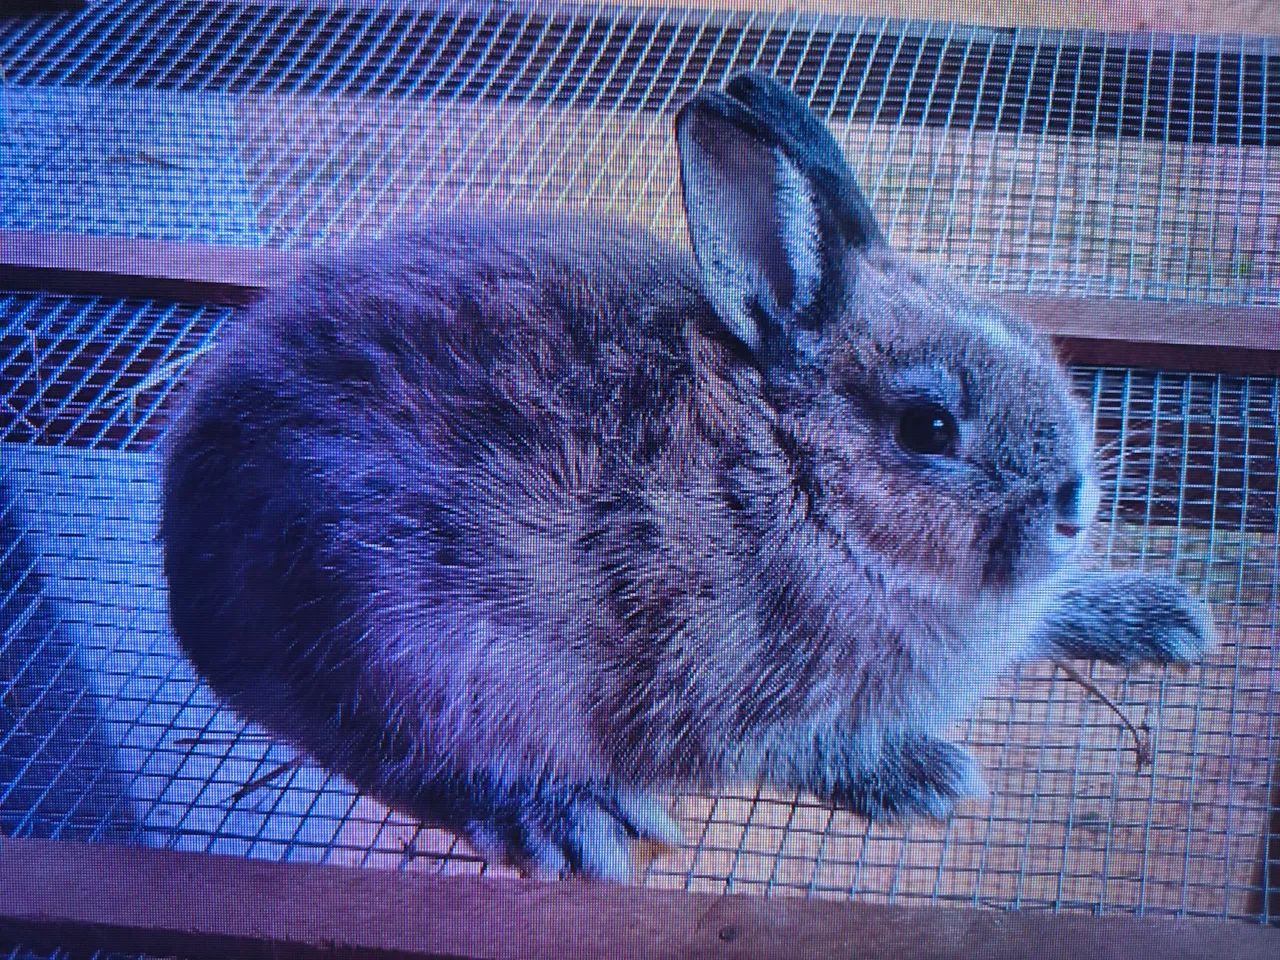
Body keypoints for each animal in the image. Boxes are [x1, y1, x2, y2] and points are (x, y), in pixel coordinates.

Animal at [161, 71, 1214, 882]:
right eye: (930, 426)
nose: (1073, 504)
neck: (803, 480)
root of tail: (186, 547)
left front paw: (1158, 616)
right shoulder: (747, 693)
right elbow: (805, 747)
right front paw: (923, 773)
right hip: (407, 644)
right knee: (419, 760)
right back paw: (572, 819)